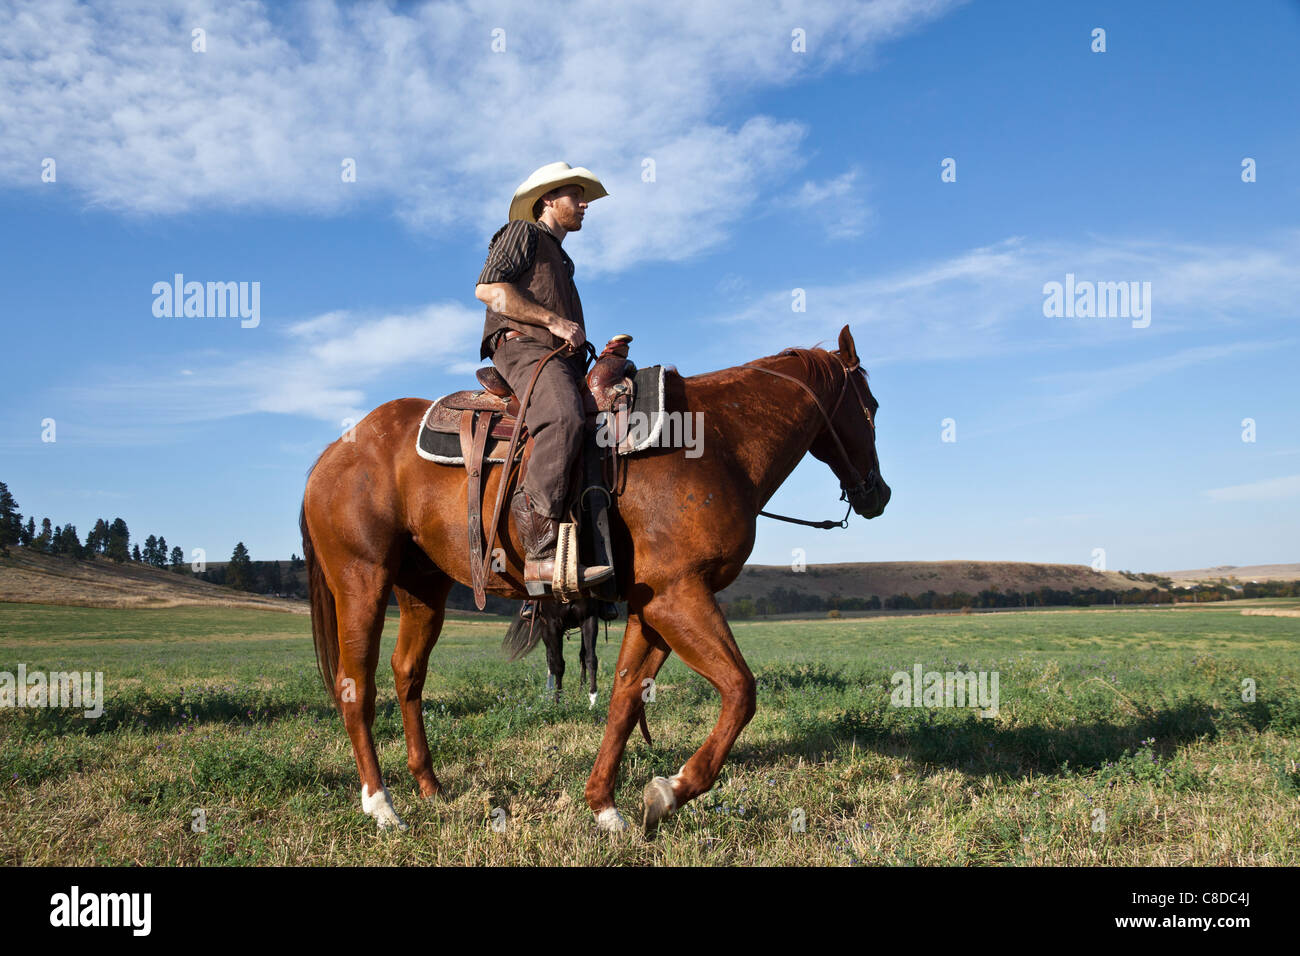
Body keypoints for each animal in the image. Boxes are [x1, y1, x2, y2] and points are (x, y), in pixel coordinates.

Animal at [299, 325, 889, 832]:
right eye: (874, 406)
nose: (878, 494)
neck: (717, 441)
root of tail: (333, 452)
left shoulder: (652, 607)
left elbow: (625, 698)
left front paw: (606, 805)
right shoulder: (679, 597)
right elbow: (741, 692)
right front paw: (671, 789)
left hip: (422, 590)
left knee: (408, 675)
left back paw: (429, 787)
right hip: (362, 582)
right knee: (357, 687)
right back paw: (381, 805)